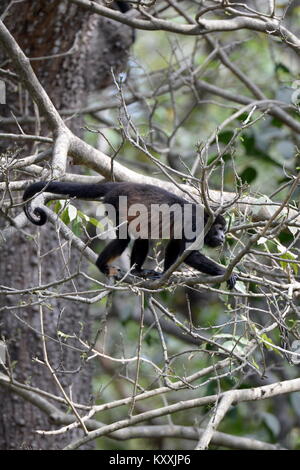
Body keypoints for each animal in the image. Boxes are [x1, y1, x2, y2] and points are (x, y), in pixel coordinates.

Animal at [22, 181, 237, 288]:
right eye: (219, 228)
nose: (223, 237)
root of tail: (118, 185)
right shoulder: (195, 224)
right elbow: (191, 255)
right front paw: (225, 273)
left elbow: (175, 246)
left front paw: (165, 274)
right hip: (115, 203)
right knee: (123, 239)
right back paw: (102, 265)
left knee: (142, 236)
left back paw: (138, 271)